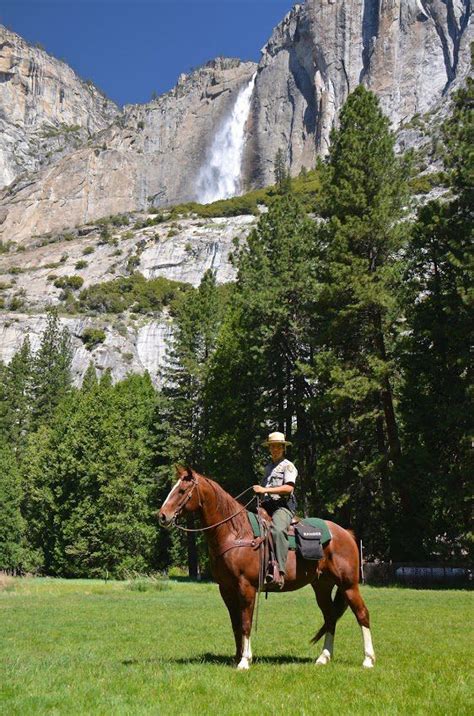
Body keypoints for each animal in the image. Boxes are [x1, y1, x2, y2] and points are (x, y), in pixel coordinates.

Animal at [158, 468, 374, 668]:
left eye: (182, 490)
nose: (162, 516)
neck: (235, 533)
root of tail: (345, 533)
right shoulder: (226, 589)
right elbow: (236, 624)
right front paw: (237, 657)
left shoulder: (246, 587)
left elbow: (245, 623)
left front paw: (245, 661)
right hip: (322, 586)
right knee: (330, 618)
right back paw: (323, 658)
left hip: (348, 585)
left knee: (362, 614)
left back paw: (368, 660)